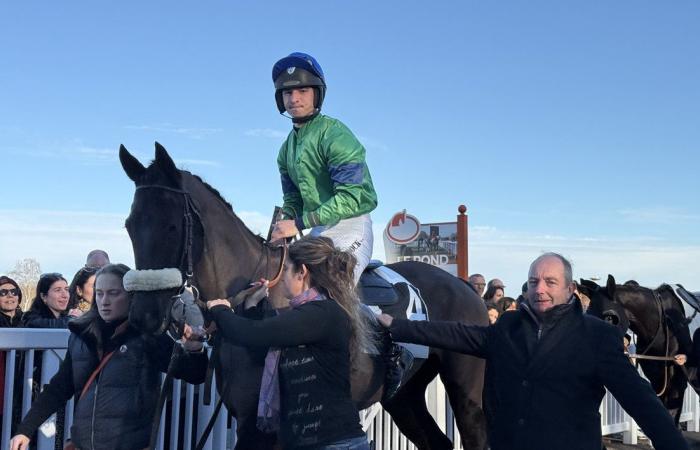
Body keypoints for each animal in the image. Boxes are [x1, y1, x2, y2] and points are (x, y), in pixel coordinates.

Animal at [119, 144, 486, 450]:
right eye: (129, 225)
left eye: (171, 226)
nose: (144, 315)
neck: (256, 299)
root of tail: (464, 286)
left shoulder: (259, 428)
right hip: (404, 396)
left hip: (466, 390)